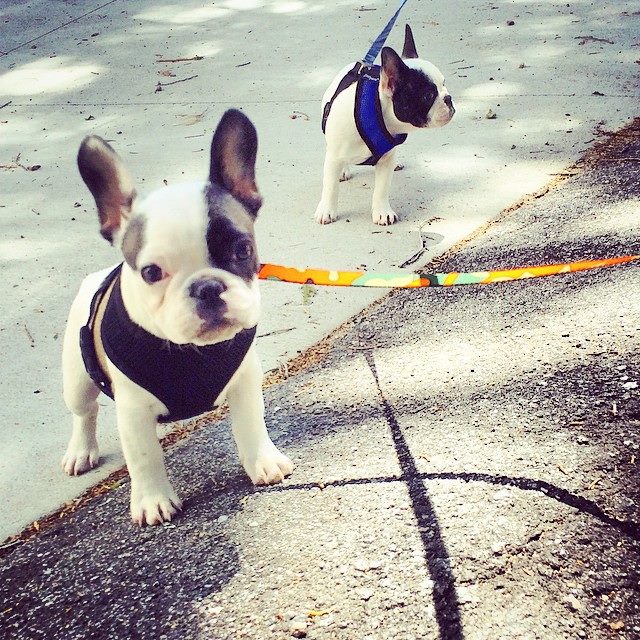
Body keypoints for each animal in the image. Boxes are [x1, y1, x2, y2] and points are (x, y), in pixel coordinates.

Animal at [61, 109, 294, 524]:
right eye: (152, 272)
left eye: (242, 249)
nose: (207, 287)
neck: (190, 352)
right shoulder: (133, 410)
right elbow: (144, 457)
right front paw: (153, 500)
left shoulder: (245, 382)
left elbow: (251, 425)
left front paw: (263, 462)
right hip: (76, 376)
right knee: (84, 412)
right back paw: (81, 451)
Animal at [316, 24, 456, 225]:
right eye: (428, 96)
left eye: (444, 84)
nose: (448, 98)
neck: (379, 114)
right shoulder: (334, 156)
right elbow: (330, 186)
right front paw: (327, 210)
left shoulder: (386, 160)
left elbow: (381, 189)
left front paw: (382, 212)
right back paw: (343, 171)